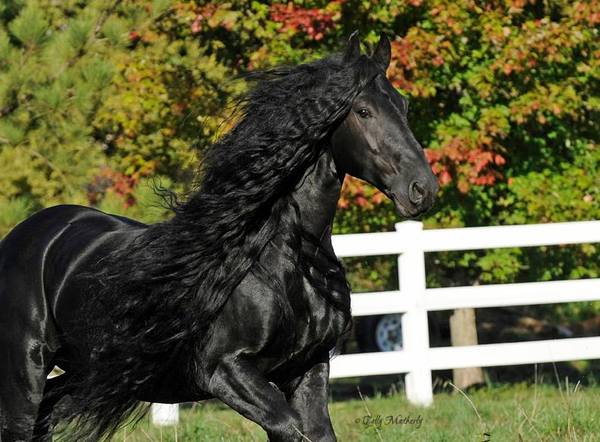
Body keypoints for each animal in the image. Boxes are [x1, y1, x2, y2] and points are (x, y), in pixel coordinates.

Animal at [0, 32, 436, 440]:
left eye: (404, 106)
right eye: (363, 111)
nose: (422, 189)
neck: (281, 263)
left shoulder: (307, 368)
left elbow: (315, 432)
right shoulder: (226, 371)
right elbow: (290, 428)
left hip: (83, 372)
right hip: (26, 371)